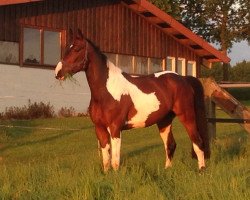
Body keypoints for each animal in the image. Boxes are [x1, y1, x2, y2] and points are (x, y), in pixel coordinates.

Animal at [55, 29, 211, 172]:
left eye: (76, 49)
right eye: (67, 47)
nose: (58, 72)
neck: (106, 92)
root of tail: (183, 78)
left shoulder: (115, 128)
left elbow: (115, 161)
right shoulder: (99, 128)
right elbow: (106, 160)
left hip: (187, 116)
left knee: (197, 142)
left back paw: (201, 170)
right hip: (164, 120)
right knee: (170, 145)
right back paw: (167, 170)